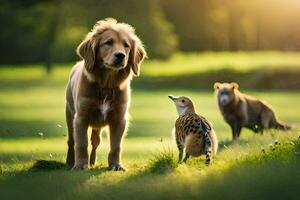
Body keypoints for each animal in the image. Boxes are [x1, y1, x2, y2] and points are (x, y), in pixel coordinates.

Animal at [65, 18, 146, 170]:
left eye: (126, 46)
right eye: (108, 42)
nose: (121, 55)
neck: (106, 84)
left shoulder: (119, 118)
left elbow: (116, 145)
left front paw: (115, 165)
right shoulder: (81, 117)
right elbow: (81, 143)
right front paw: (81, 165)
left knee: (95, 142)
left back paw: (92, 161)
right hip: (70, 115)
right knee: (71, 141)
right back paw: (70, 162)